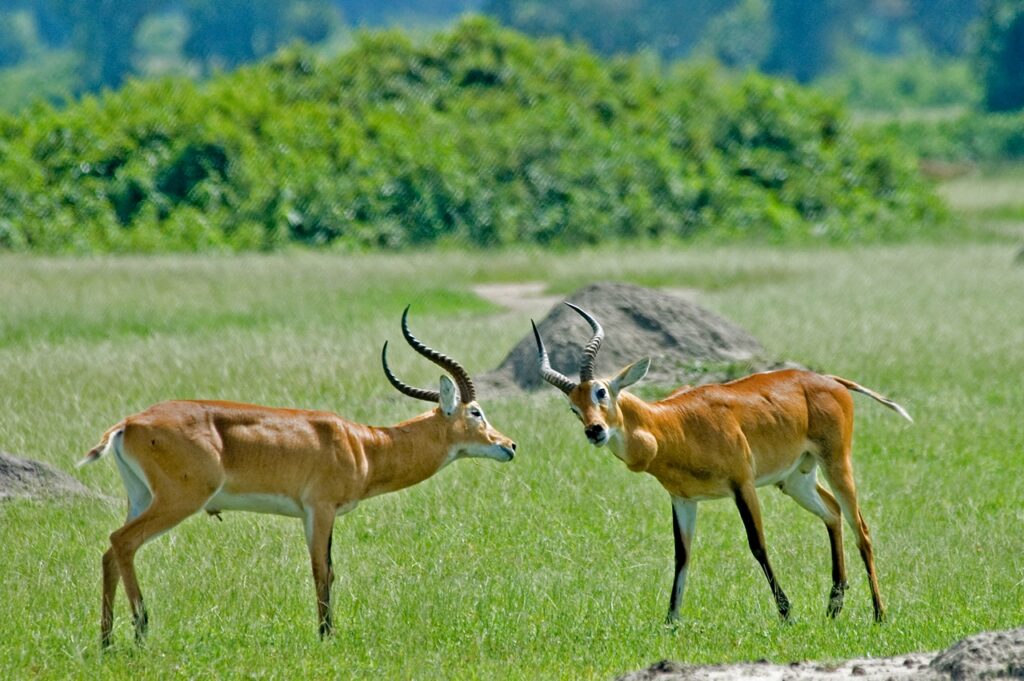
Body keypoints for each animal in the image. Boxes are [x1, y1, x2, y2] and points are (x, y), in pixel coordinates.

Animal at [79, 305, 516, 647]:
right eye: (476, 412)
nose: (509, 445)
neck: (364, 445)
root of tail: (129, 423)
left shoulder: (317, 514)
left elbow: (329, 569)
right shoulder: (319, 509)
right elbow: (322, 570)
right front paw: (326, 636)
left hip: (140, 497)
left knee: (111, 552)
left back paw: (106, 640)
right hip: (178, 500)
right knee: (123, 542)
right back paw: (141, 631)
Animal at [532, 305, 909, 622]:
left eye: (601, 392)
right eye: (573, 408)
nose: (594, 431)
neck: (672, 425)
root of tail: (831, 380)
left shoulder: (742, 484)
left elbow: (757, 545)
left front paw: (786, 613)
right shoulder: (683, 499)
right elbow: (682, 555)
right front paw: (671, 621)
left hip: (836, 463)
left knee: (861, 528)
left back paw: (879, 614)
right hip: (795, 479)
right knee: (832, 513)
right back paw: (833, 608)